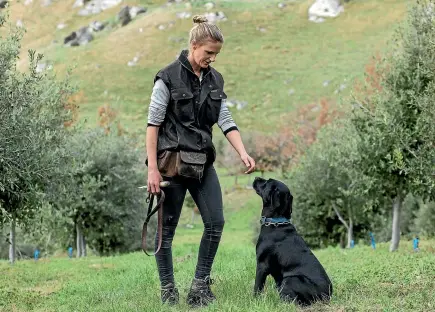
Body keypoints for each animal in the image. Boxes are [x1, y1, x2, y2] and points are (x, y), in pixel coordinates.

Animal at [252, 177, 334, 306]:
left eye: (267, 182)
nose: (256, 178)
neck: (276, 222)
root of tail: (327, 296)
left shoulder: (262, 264)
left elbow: (257, 286)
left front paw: (254, 301)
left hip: (290, 279)